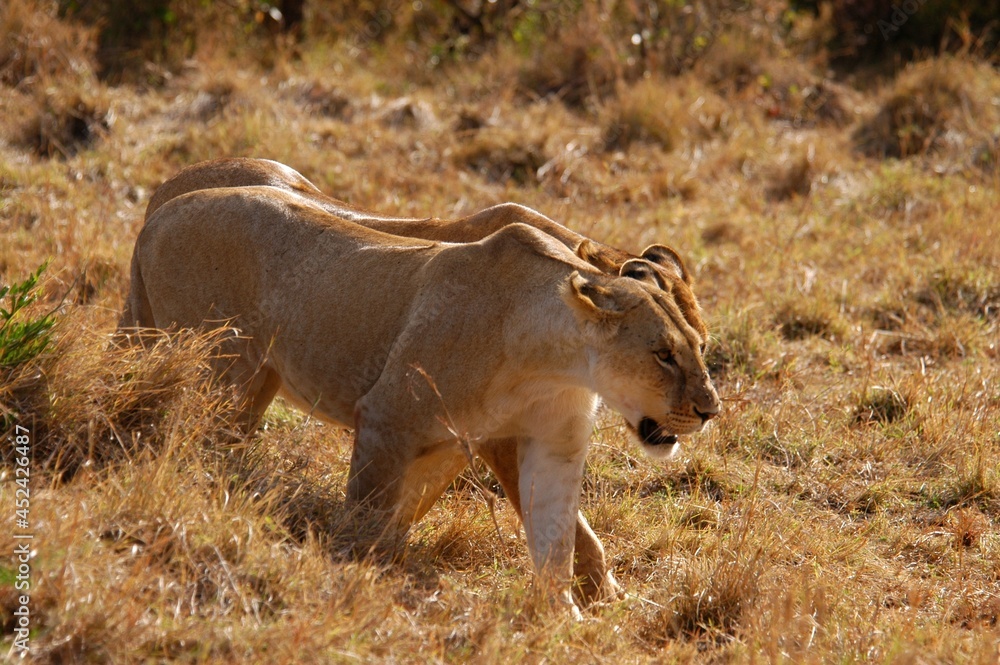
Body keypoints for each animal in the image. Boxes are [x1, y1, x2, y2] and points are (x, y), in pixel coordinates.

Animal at [130, 158, 713, 606]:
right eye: (664, 356)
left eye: (704, 346)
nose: (711, 410)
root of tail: (163, 203)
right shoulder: (432, 425)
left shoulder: (482, 437)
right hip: (215, 364)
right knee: (193, 436)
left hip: (250, 381)